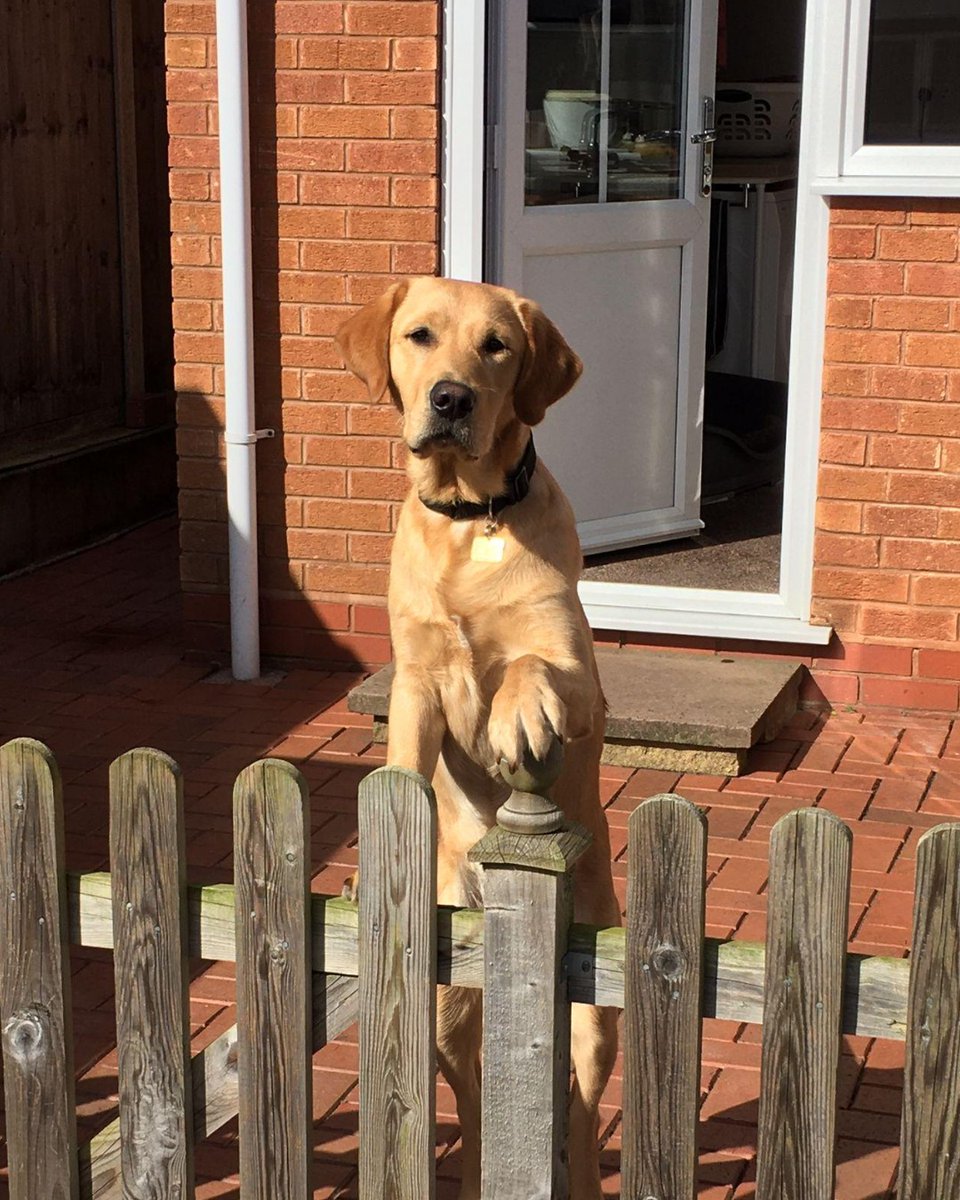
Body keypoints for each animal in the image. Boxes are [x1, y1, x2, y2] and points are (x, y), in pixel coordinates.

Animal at [333, 276, 619, 1195]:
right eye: (420, 336)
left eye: (497, 345)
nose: (451, 399)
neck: (469, 515)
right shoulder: (415, 681)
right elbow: (401, 769)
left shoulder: (580, 674)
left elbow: (529, 665)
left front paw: (514, 715)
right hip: (443, 1005)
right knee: (473, 1095)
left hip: (592, 1009)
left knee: (582, 1110)